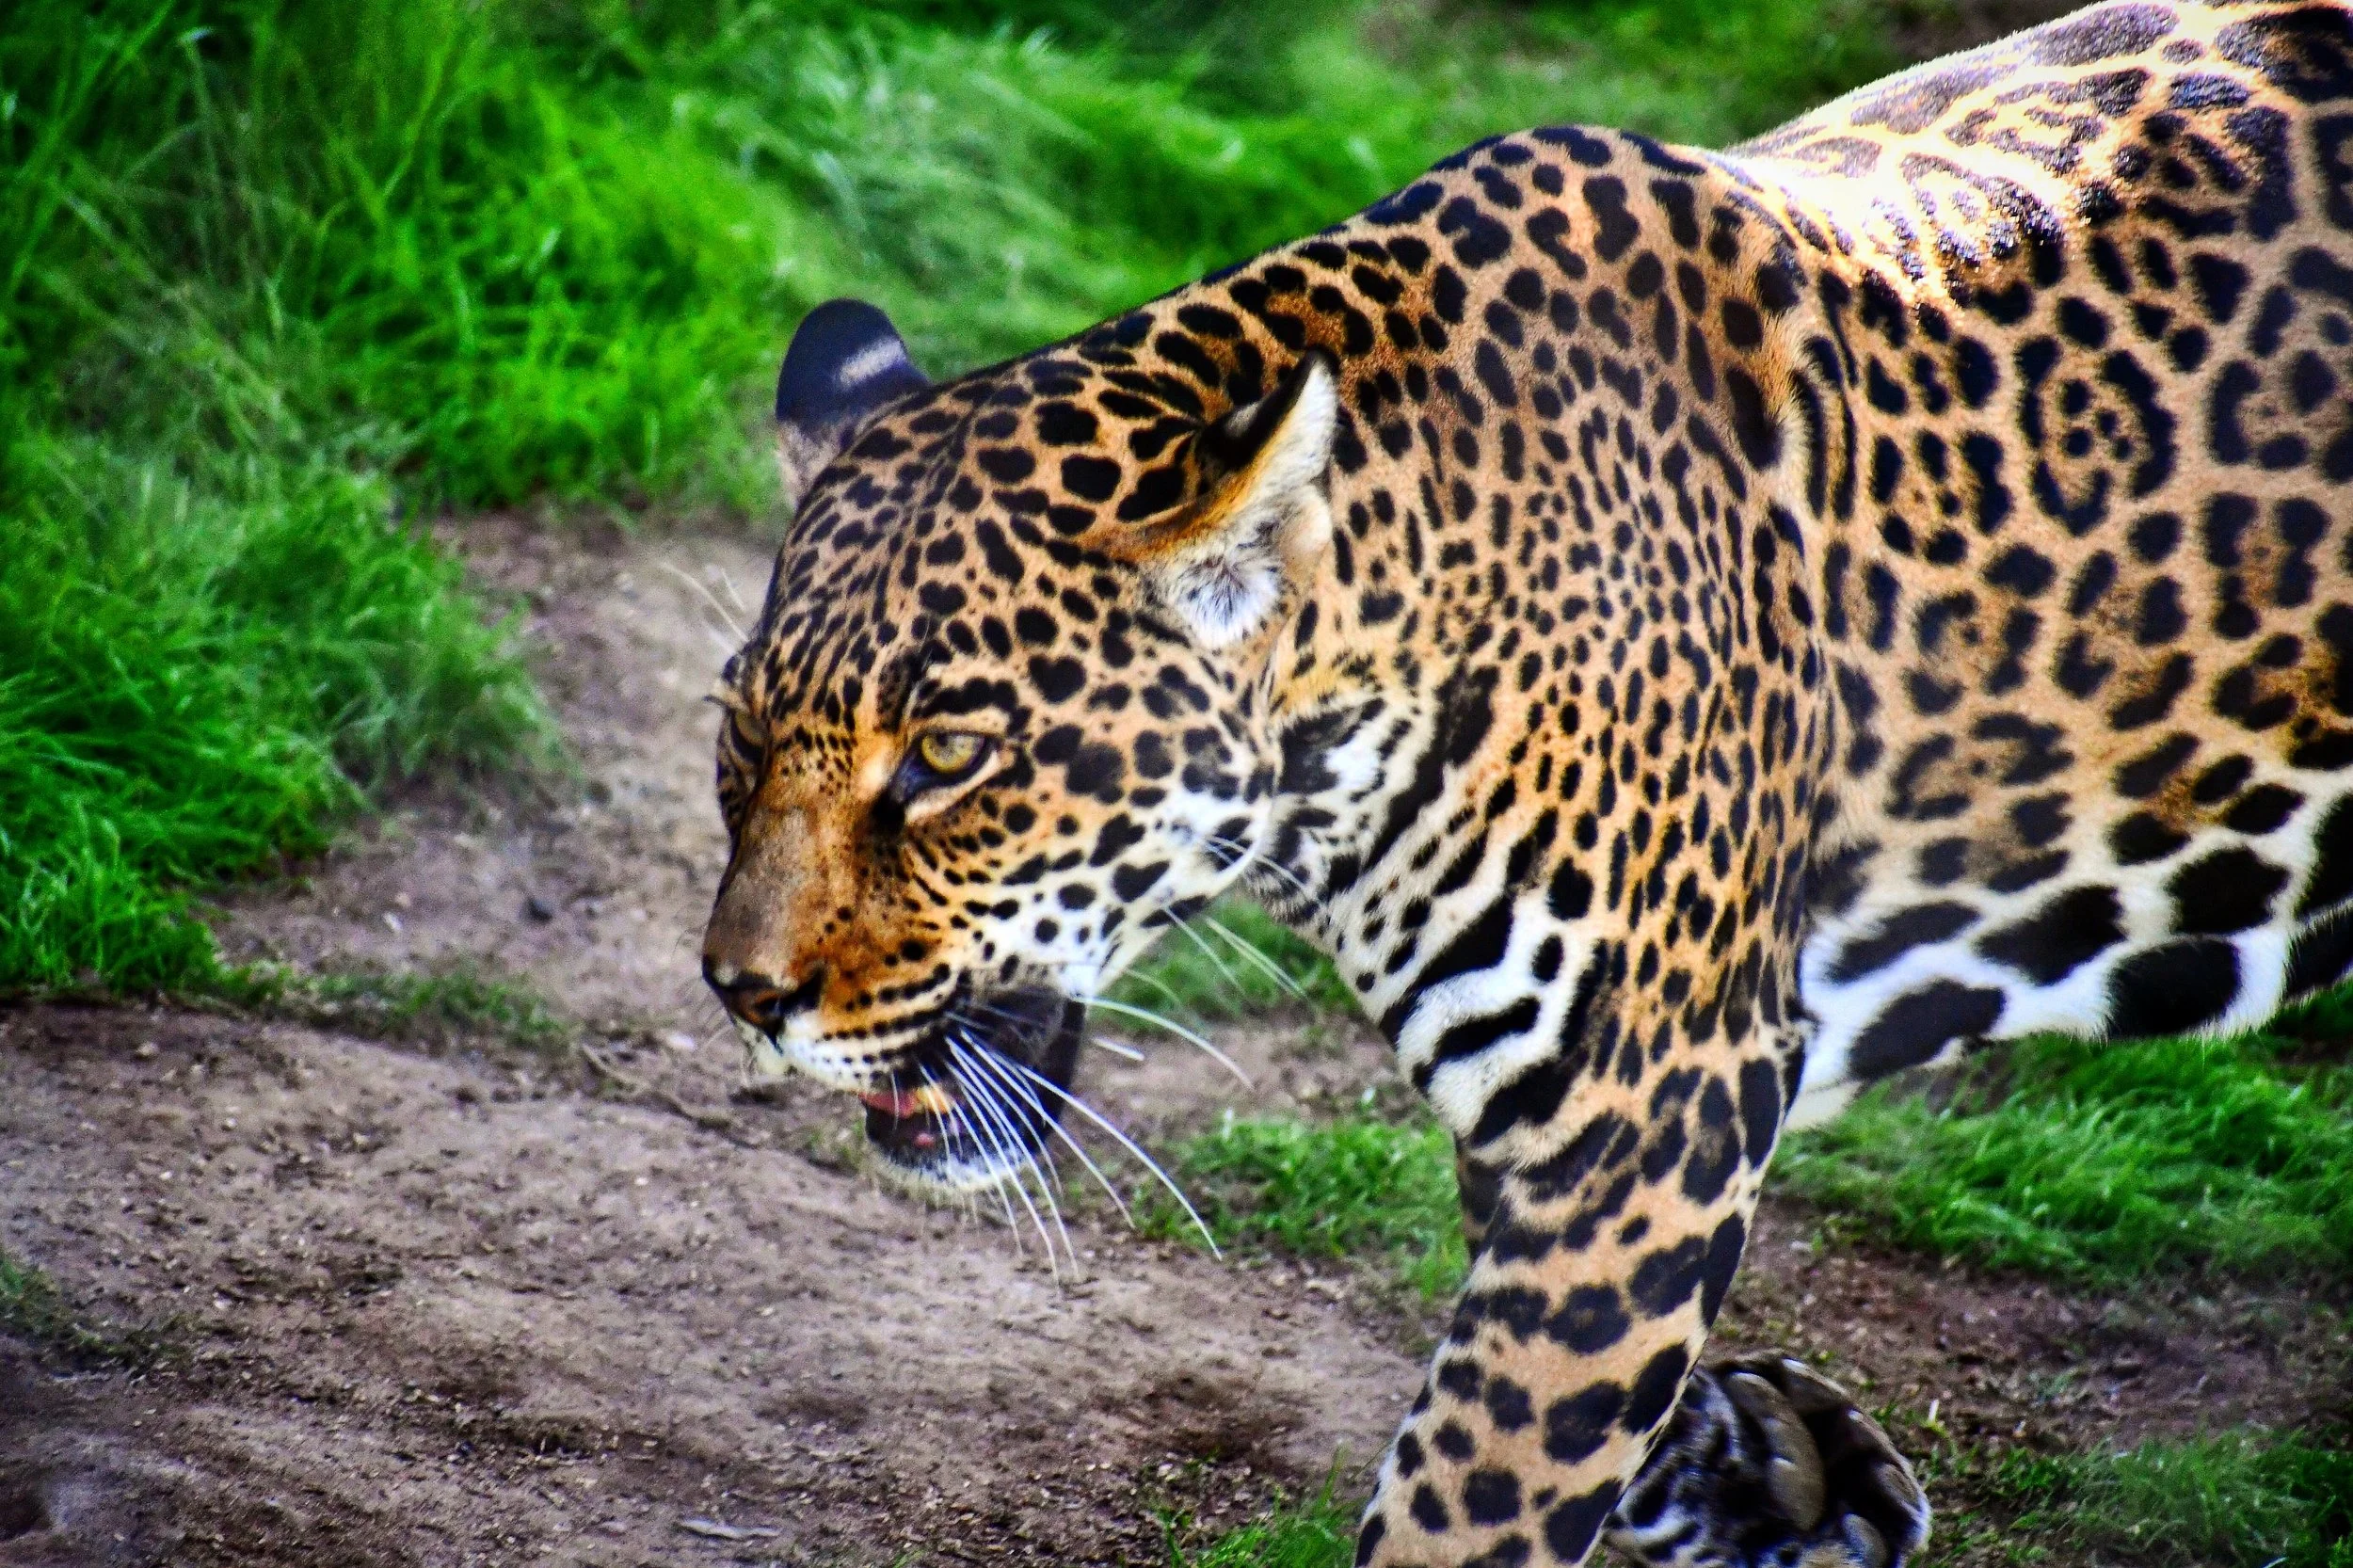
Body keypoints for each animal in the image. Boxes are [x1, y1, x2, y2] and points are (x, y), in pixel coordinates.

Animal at [698, 4, 2353, 1563]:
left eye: (947, 759)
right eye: (740, 737)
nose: (741, 994)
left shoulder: (1650, 1096)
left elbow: (1478, 1480)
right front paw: (1775, 1465)